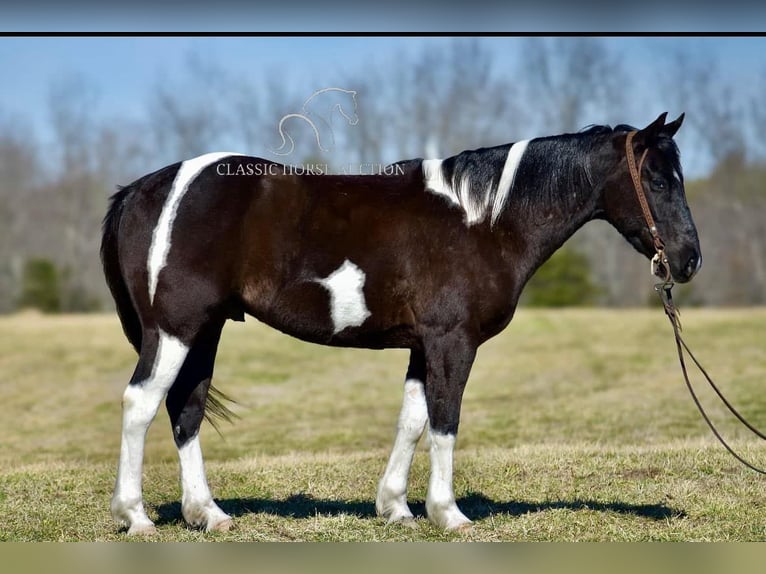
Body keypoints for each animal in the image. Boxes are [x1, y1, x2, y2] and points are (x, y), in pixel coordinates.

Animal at [100, 111, 704, 536]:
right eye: (657, 180)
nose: (689, 260)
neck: (482, 221)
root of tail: (142, 190)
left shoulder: (423, 345)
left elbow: (412, 420)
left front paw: (395, 508)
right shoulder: (452, 342)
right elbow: (444, 422)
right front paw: (449, 514)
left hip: (205, 330)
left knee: (186, 409)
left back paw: (209, 513)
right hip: (175, 328)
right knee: (141, 404)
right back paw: (137, 516)